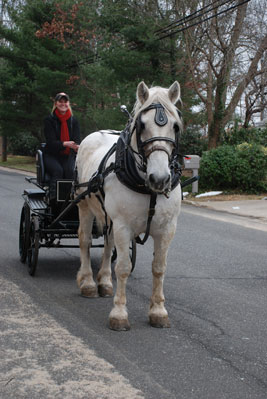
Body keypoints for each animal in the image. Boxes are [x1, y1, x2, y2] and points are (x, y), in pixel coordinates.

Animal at [76, 81, 183, 332]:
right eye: (141, 125)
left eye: (175, 126)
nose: (160, 178)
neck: (147, 187)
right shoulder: (123, 225)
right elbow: (123, 267)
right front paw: (119, 314)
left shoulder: (167, 228)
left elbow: (159, 267)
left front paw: (158, 311)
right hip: (84, 206)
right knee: (85, 240)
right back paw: (88, 283)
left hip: (108, 217)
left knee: (107, 245)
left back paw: (104, 282)